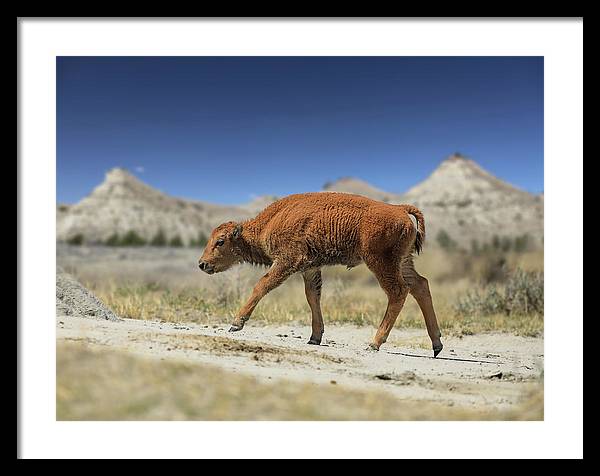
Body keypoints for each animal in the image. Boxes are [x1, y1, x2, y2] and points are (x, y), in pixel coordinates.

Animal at [199, 192, 442, 356]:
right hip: (403, 262)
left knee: (398, 291)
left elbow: (262, 285)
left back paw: (374, 343)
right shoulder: (310, 269)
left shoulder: (287, 262)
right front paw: (314, 338)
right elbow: (312, 298)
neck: (269, 223)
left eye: (220, 241)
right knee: (420, 285)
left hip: (381, 263)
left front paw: (236, 323)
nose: (202, 264)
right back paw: (437, 344)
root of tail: (400, 209)